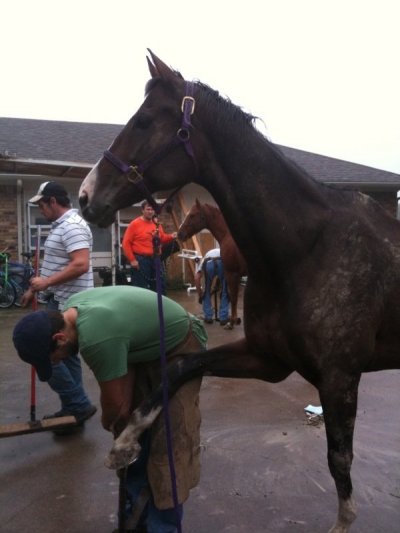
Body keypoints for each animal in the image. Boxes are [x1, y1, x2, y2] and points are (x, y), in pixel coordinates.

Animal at [178, 197, 247, 326]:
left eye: (192, 215)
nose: (180, 234)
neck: (228, 236)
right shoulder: (235, 274)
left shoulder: (232, 273)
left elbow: (233, 297)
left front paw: (232, 322)